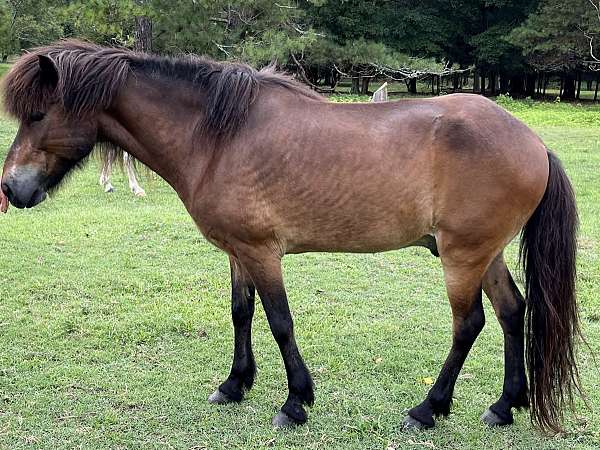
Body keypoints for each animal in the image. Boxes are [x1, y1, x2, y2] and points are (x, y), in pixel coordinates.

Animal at [0, 41, 580, 432]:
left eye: (37, 113)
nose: (10, 188)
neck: (218, 136)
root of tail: (533, 142)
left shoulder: (263, 252)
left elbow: (280, 321)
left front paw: (295, 402)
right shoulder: (238, 251)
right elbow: (242, 313)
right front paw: (234, 385)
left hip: (462, 256)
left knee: (469, 324)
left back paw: (427, 409)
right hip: (486, 254)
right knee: (512, 312)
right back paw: (504, 406)